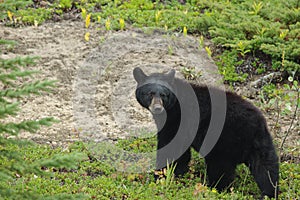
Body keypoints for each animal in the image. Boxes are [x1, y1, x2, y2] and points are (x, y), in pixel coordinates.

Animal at [134, 67, 278, 198]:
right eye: (150, 93)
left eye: (164, 94)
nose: (158, 108)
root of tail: (255, 123)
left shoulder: (177, 121)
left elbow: (171, 149)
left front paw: (160, 177)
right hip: (261, 143)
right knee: (266, 169)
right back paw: (268, 193)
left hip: (223, 141)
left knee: (220, 169)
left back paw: (215, 189)